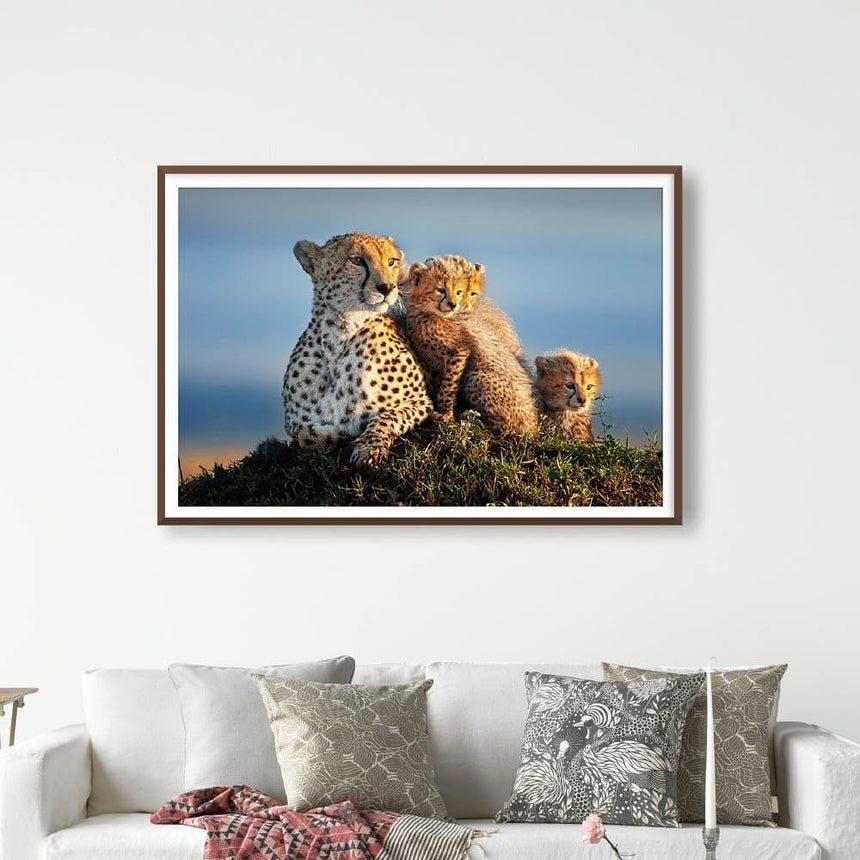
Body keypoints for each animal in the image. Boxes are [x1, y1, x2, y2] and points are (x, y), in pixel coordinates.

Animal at [282, 232, 432, 467]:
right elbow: (303, 434)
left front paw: (368, 449)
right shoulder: (293, 421)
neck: (338, 337)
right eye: (356, 260)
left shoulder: (420, 402)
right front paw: (336, 436)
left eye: (392, 261)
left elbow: (386, 417)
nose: (387, 288)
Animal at [404, 255, 538, 435]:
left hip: (476, 377)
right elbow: (440, 383)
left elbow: (447, 386)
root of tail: (533, 424)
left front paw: (445, 414)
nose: (453, 304)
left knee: (507, 427)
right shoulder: (434, 362)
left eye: (458, 292)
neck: (426, 313)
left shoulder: (459, 351)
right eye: (441, 290)